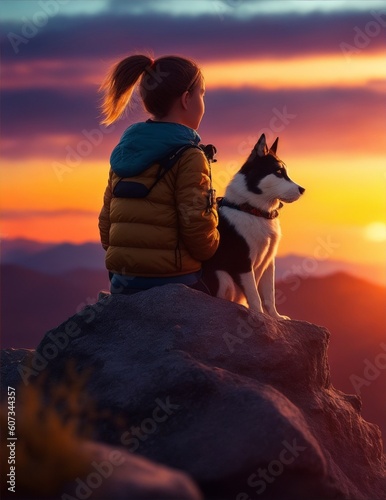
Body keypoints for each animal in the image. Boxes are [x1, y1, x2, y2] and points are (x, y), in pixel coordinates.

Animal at [202, 133, 304, 320]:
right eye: (279, 172)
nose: (303, 189)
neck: (254, 212)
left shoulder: (269, 262)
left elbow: (269, 295)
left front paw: (276, 317)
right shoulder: (243, 262)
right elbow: (255, 297)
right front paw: (260, 316)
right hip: (223, 277)